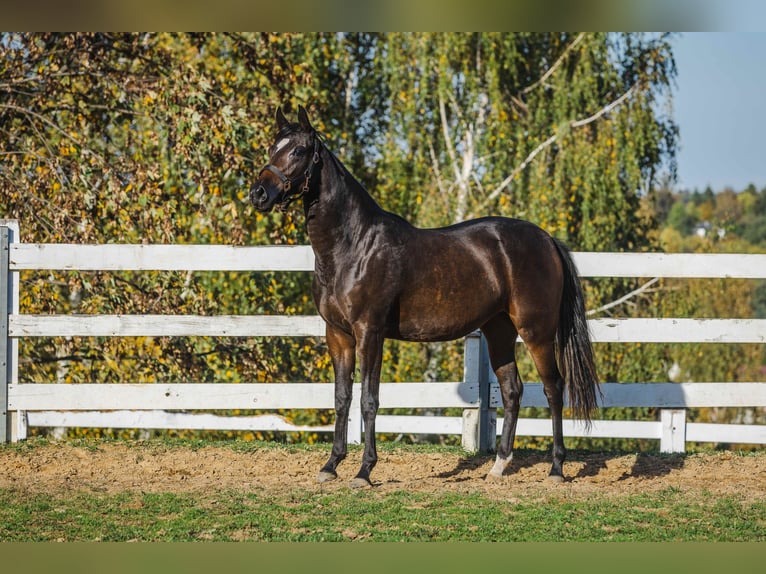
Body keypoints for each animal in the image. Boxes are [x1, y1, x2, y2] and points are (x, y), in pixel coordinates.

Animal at [250, 106, 600, 488]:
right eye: (271, 148)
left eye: (298, 151)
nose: (259, 193)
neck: (354, 245)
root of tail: (546, 239)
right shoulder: (338, 334)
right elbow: (342, 398)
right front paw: (331, 465)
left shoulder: (369, 333)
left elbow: (369, 400)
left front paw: (364, 471)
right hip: (499, 331)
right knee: (512, 390)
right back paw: (498, 466)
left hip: (536, 331)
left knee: (554, 388)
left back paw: (556, 468)